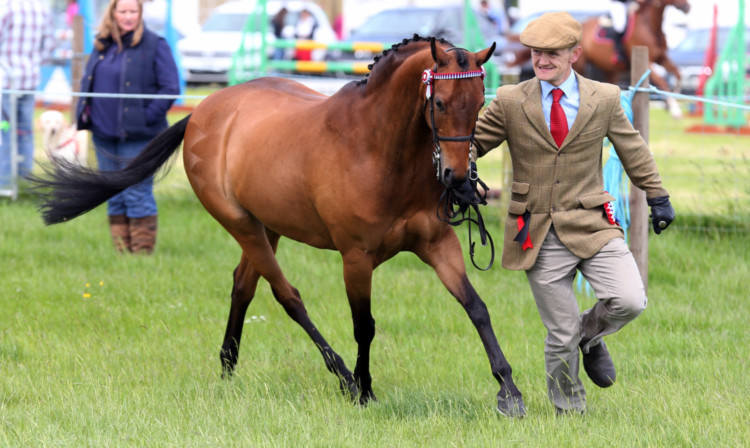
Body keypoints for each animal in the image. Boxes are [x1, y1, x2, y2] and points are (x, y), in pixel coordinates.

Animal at [30, 36, 528, 418]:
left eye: (479, 104)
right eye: (439, 103)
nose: (458, 180)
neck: (378, 148)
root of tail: (205, 111)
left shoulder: (437, 243)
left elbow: (477, 307)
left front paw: (510, 391)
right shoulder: (356, 259)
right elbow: (363, 326)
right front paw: (366, 390)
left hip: (266, 227)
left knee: (242, 285)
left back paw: (228, 366)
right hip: (241, 225)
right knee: (287, 296)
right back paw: (343, 378)